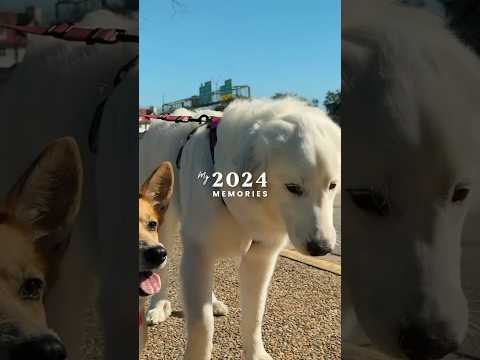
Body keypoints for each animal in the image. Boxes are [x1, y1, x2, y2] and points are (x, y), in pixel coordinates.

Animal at [139, 98, 342, 360]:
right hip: (163, 224)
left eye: (332, 185)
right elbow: (202, 324)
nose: (322, 248)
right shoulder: (198, 252)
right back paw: (158, 306)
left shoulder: (260, 258)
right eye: (293, 187)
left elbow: (254, 317)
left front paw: (256, 354)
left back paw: (212, 302)